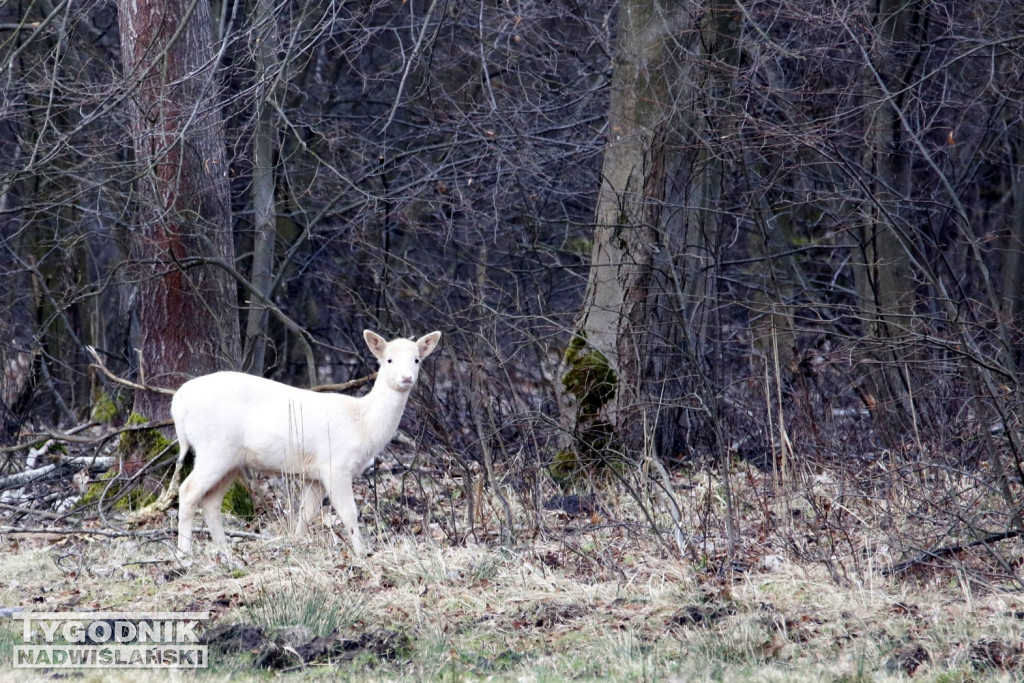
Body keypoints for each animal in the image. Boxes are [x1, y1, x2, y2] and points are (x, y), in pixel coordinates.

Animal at [171, 329, 440, 557]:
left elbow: (306, 513)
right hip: (214, 448)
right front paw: (362, 553)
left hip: (230, 459)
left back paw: (224, 550)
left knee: (210, 501)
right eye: (389, 360)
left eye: (417, 360)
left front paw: (296, 542)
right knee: (187, 490)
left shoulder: (314, 475)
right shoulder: (335, 465)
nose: (406, 377)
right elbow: (349, 512)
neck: (363, 425)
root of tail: (178, 402)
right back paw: (184, 554)